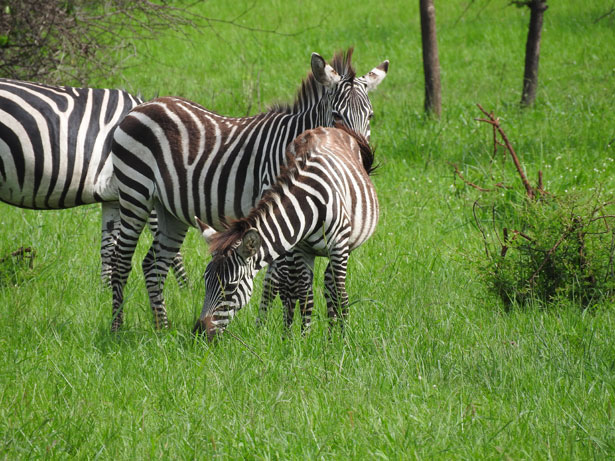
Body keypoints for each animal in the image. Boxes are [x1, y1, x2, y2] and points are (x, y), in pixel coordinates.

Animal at [0, 77, 188, 286]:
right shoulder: (143, 187)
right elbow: (171, 248)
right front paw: (185, 290)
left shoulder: (114, 197)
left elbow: (109, 249)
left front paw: (105, 291)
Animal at [194, 125, 380, 338]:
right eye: (205, 280)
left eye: (231, 286)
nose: (199, 332)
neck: (308, 205)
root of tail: (327, 127)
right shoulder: (301, 249)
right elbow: (305, 295)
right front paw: (304, 337)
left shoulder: (339, 246)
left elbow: (340, 294)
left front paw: (344, 338)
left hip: (345, 247)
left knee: (333, 286)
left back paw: (334, 334)